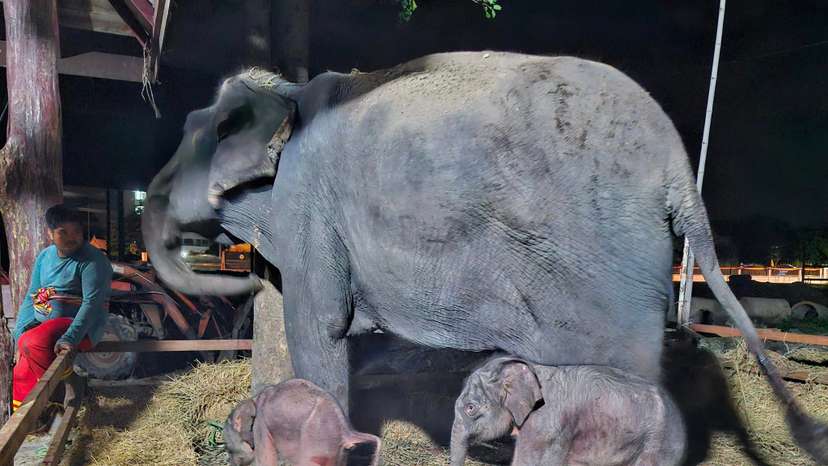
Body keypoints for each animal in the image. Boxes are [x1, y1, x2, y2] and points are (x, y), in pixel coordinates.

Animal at [223, 378, 381, 466]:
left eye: (229, 449)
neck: (254, 400)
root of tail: (347, 431)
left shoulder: (260, 427)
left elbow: (266, 460)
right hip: (337, 451)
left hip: (316, 442)